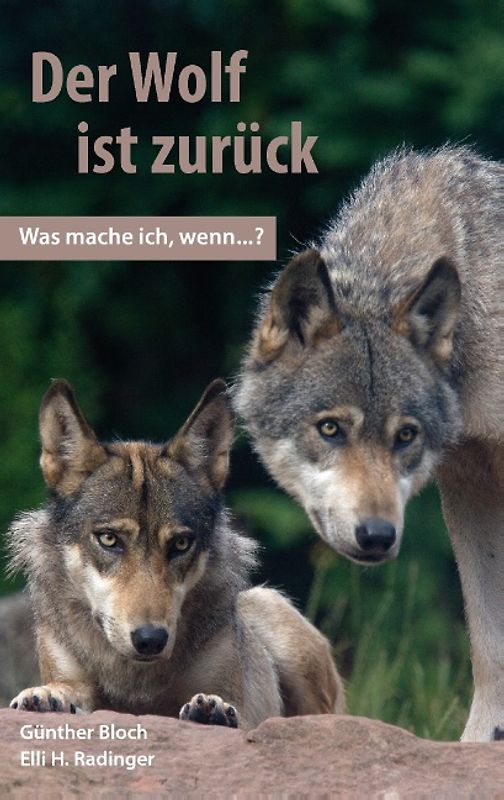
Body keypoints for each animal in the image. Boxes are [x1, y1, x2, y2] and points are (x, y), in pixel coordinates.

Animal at [7, 379, 343, 728]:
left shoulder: (238, 700)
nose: (150, 639)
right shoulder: (73, 677)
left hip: (275, 614)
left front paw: (213, 708)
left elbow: (226, 703)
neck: (135, 683)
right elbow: (67, 688)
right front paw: (46, 696)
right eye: (109, 539)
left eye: (181, 544)